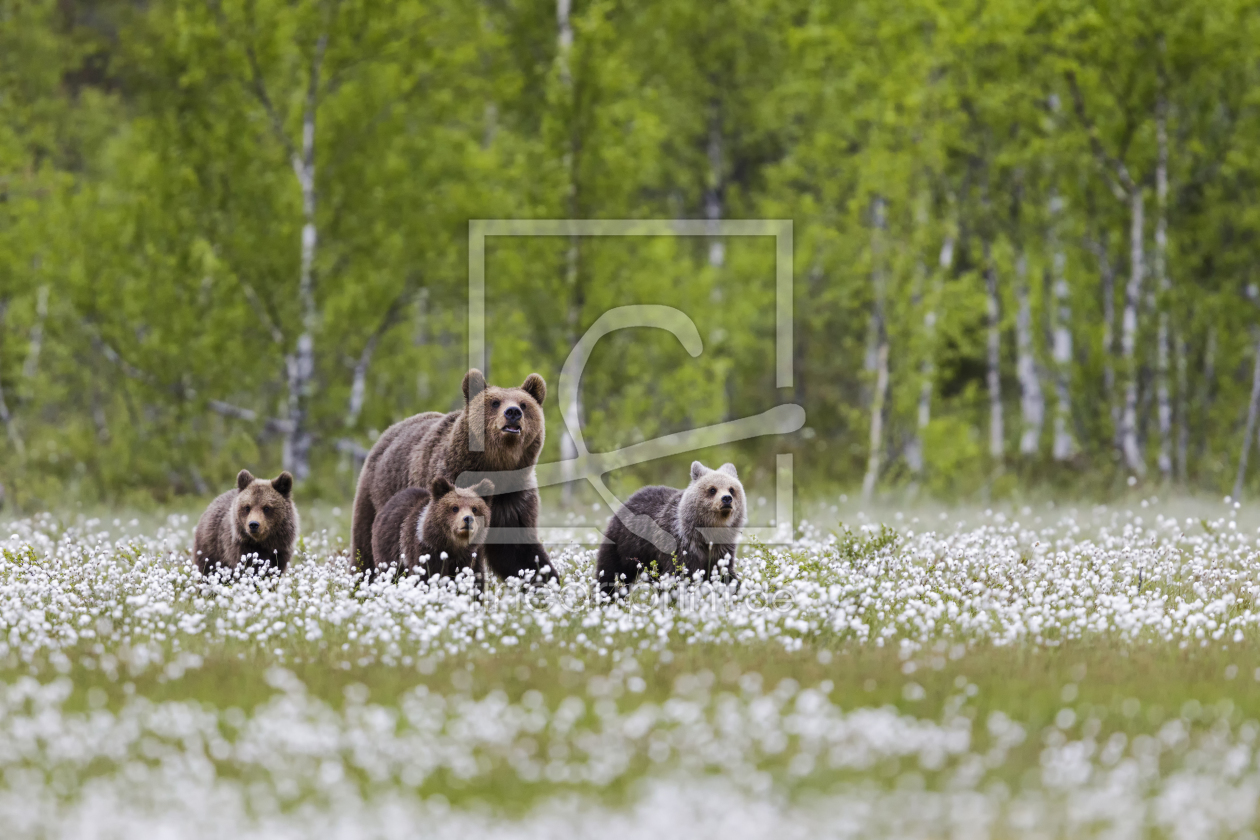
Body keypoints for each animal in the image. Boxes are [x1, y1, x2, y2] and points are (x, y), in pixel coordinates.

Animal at [350, 370, 556, 581]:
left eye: (524, 404)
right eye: (495, 402)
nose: (513, 412)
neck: (495, 469)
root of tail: (389, 431)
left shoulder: (513, 499)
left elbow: (517, 550)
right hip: (374, 495)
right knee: (364, 545)